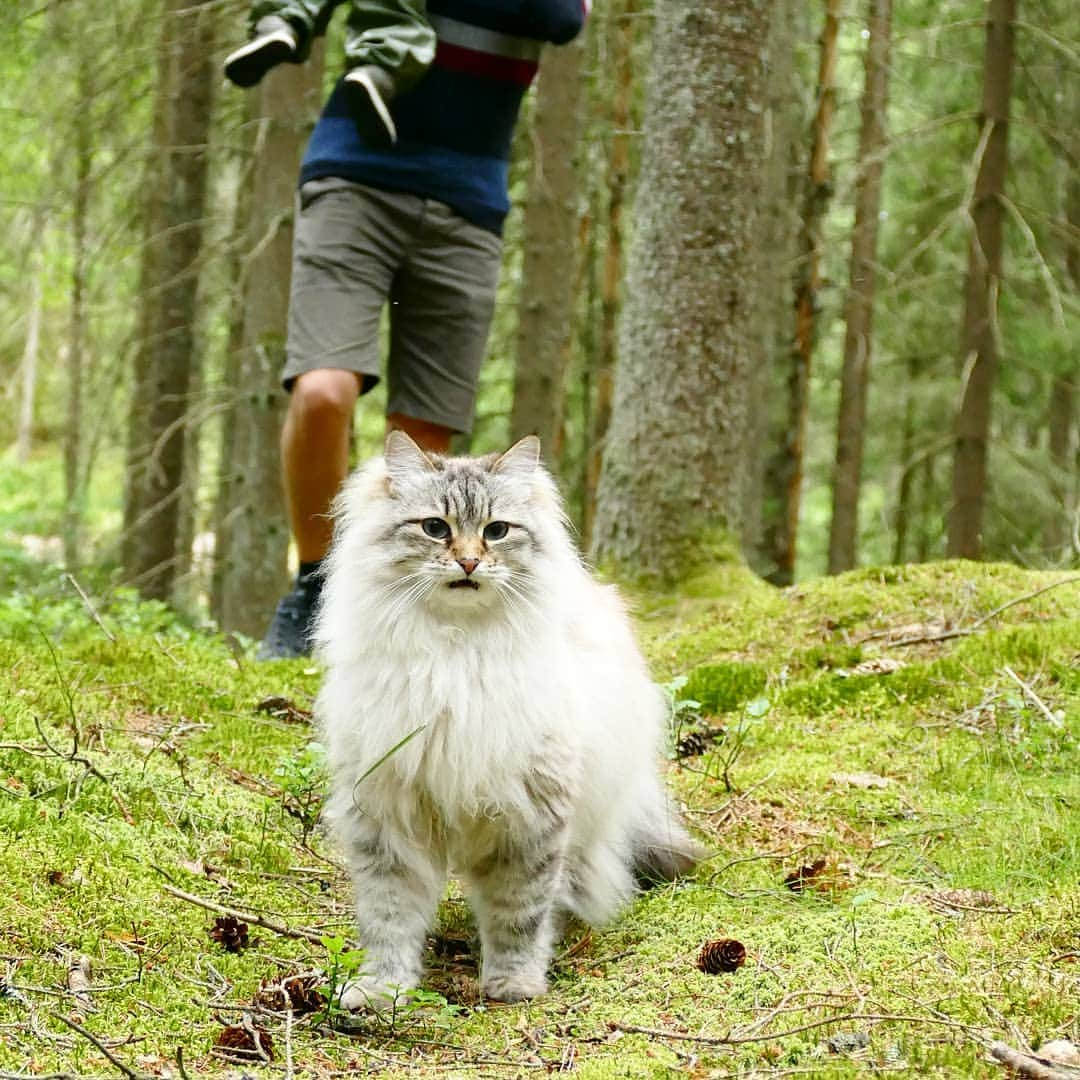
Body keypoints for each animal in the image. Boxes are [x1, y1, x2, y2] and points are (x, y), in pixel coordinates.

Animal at [315, 434, 699, 1006]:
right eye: (436, 528)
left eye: (496, 530)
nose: (470, 563)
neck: (454, 656)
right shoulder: (387, 813)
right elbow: (390, 917)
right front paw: (384, 991)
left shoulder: (532, 814)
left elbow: (519, 914)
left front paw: (513, 984)